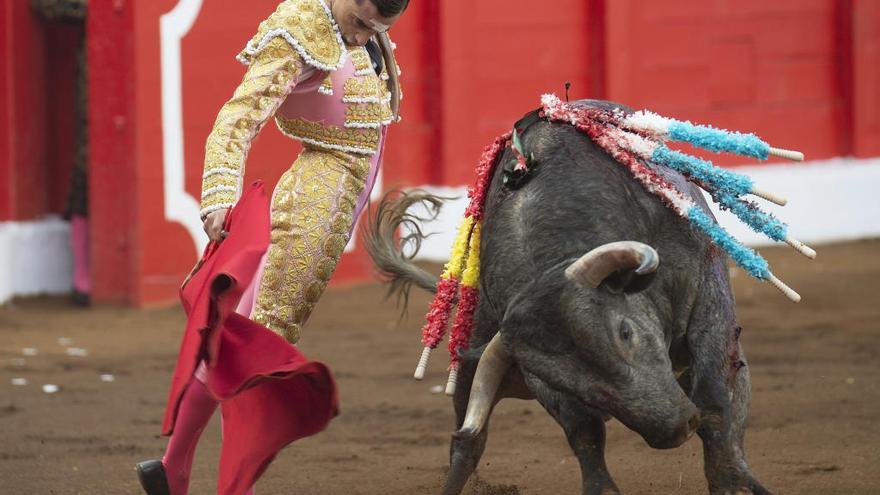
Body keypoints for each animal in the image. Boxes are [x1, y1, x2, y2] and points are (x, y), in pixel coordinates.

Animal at [364, 101, 768, 495]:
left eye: (625, 332)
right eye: (566, 382)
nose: (675, 427)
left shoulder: (708, 297)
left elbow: (715, 404)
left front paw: (731, 483)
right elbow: (584, 432)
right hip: (469, 367)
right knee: (466, 442)